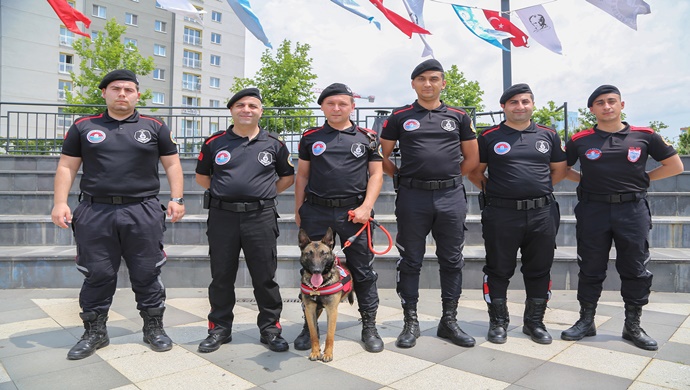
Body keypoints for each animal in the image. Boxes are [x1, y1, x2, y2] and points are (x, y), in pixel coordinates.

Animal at [296, 227, 352, 362]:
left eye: (324, 253)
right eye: (309, 253)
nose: (316, 270)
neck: (318, 286)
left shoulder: (332, 310)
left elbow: (329, 336)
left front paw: (328, 353)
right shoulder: (310, 309)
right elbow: (313, 334)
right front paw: (315, 352)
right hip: (318, 309)